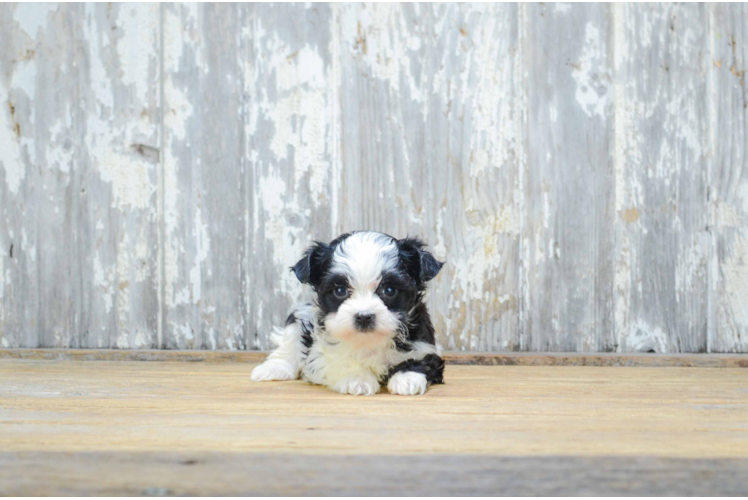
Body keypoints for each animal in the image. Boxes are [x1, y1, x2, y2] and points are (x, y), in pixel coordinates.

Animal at [251, 230, 444, 394]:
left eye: (389, 290)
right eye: (340, 291)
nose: (364, 317)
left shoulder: (424, 345)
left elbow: (420, 359)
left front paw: (408, 378)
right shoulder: (322, 351)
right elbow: (338, 360)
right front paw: (357, 378)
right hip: (300, 316)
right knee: (288, 346)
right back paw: (272, 368)